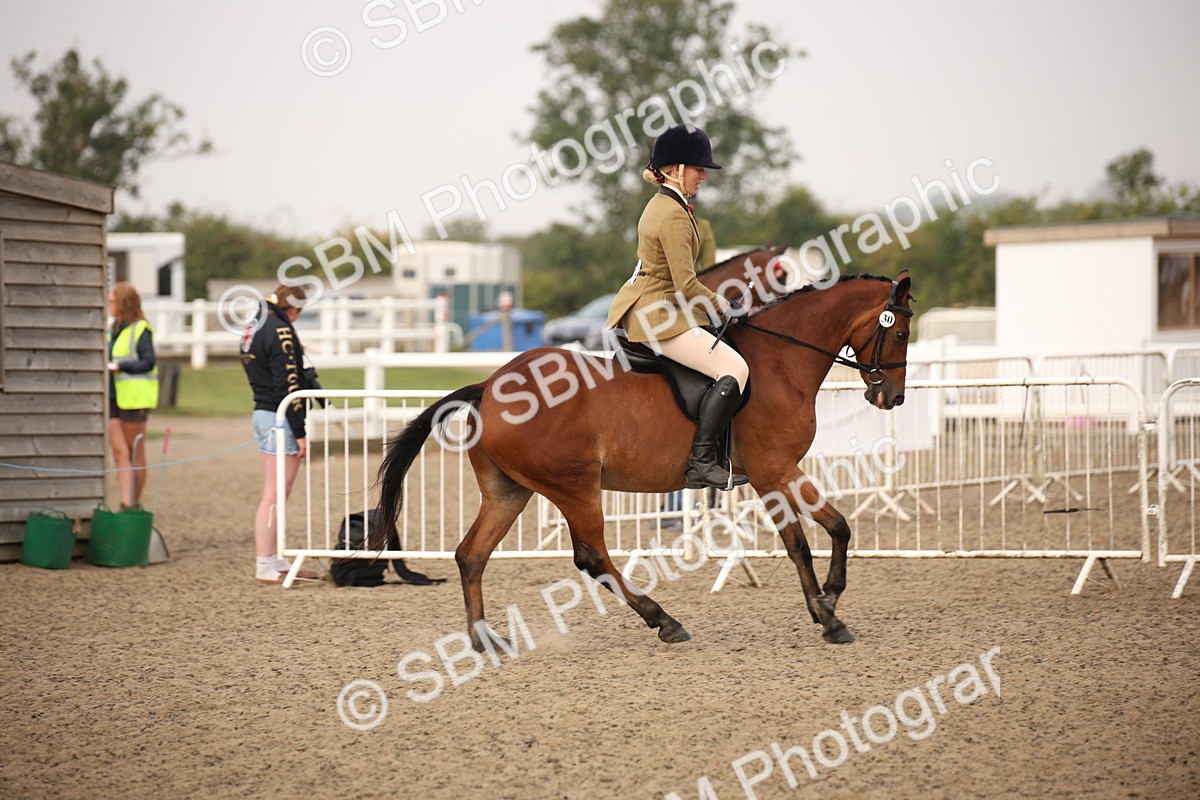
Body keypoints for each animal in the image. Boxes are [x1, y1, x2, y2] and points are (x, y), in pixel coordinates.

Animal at [377, 271, 914, 648]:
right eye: (901, 334)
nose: (892, 399)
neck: (780, 361)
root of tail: (490, 387)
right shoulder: (775, 471)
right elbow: (816, 536)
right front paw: (829, 611)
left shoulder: (773, 476)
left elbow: (819, 535)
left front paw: (827, 605)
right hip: (576, 486)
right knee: (592, 557)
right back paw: (665, 621)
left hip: (510, 491)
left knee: (471, 555)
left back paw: (484, 640)